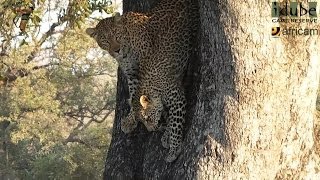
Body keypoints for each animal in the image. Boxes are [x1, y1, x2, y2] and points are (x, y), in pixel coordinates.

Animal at [86, 0, 199, 163]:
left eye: (117, 36)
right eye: (105, 41)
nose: (117, 50)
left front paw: (170, 141)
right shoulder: (132, 73)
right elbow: (134, 94)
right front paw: (131, 119)